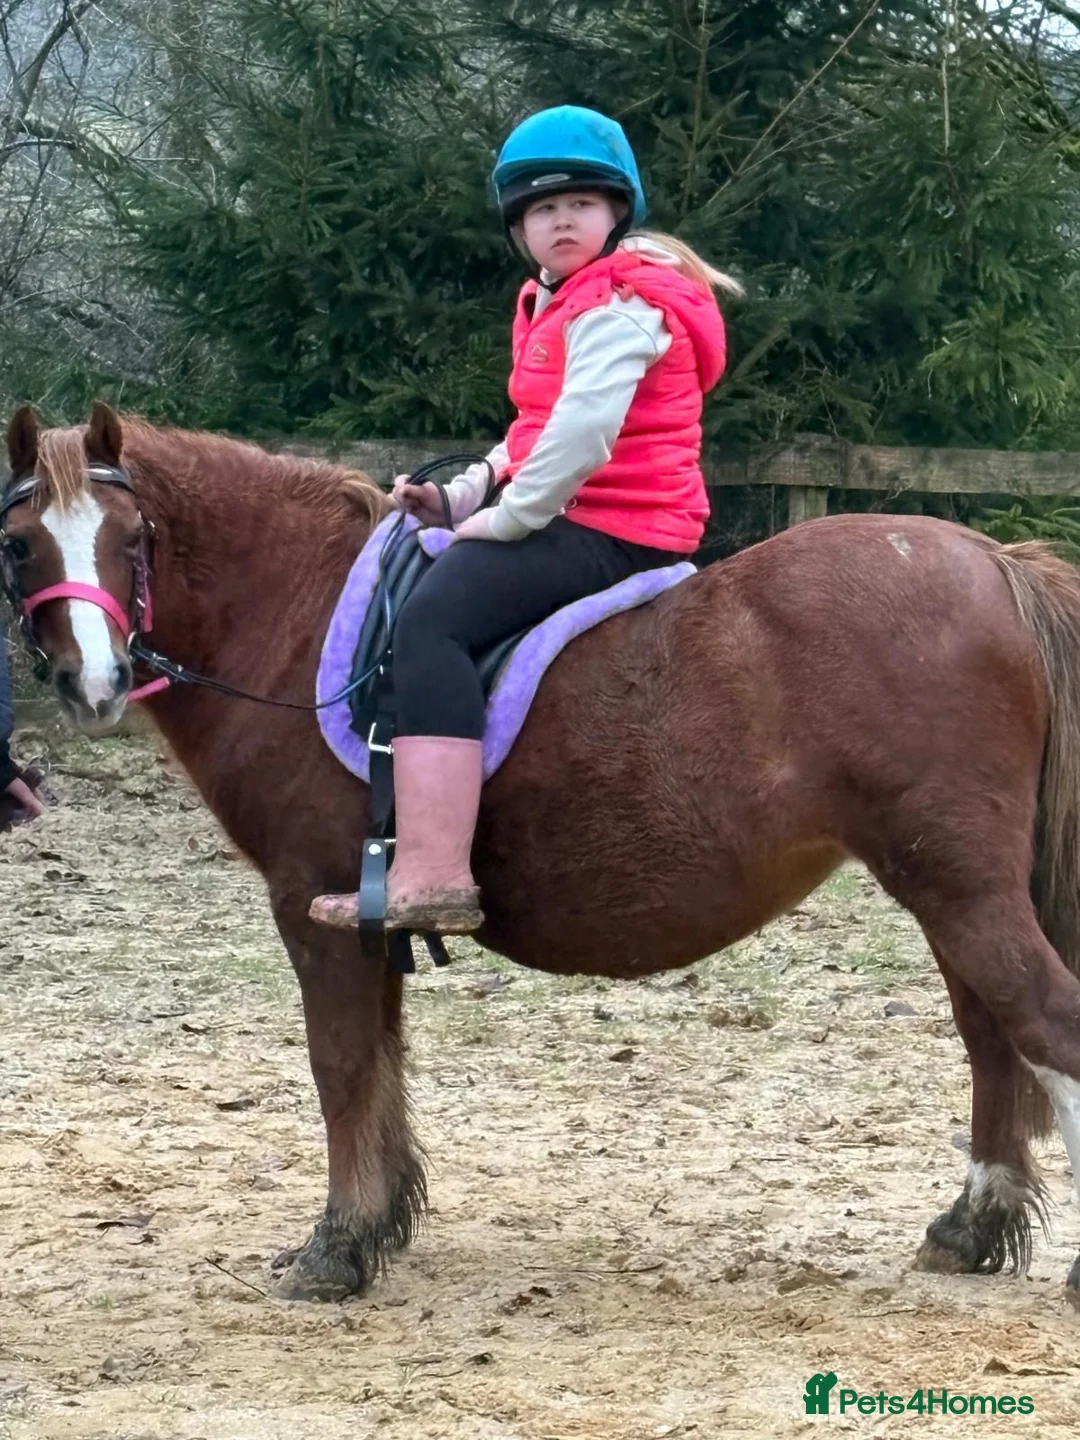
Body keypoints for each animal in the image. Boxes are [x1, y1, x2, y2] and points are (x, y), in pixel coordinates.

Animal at [3, 402, 1080, 1309]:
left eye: (132, 538)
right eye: (20, 545)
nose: (94, 683)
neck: (301, 618)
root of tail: (996, 562)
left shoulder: (316, 907)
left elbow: (342, 1066)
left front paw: (337, 1248)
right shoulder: (366, 917)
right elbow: (382, 1065)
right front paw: (380, 1226)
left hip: (956, 885)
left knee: (1040, 1021)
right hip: (951, 888)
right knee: (994, 1038)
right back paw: (969, 1226)